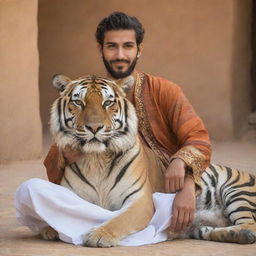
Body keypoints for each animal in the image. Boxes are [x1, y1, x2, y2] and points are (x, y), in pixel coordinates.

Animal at [41, 73, 256, 246]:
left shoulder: (140, 201)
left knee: (250, 224)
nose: (94, 127)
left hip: (237, 191)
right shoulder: (71, 194)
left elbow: (120, 220)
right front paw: (49, 228)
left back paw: (241, 234)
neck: (97, 159)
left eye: (108, 103)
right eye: (79, 102)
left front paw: (99, 236)